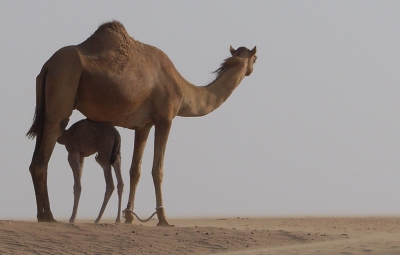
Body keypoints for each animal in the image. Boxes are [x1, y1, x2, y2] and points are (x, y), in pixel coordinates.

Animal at [26, 20, 258, 226]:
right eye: (256, 57)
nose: (252, 70)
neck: (184, 92)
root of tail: (47, 65)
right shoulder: (165, 118)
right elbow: (158, 169)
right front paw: (163, 218)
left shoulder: (144, 125)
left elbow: (134, 170)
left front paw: (129, 216)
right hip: (62, 90)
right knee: (42, 160)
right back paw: (49, 216)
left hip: (46, 108)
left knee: (35, 160)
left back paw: (41, 215)